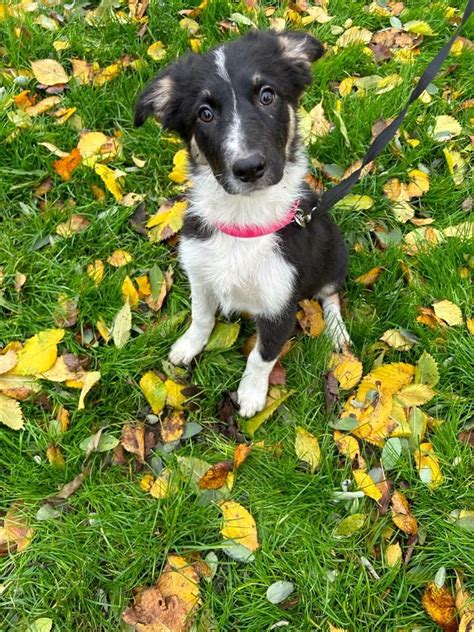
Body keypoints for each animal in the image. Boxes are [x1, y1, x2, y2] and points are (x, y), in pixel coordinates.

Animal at [135, 29, 350, 418]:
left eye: (267, 96)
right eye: (204, 114)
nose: (248, 168)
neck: (244, 220)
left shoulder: (280, 307)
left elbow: (261, 357)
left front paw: (251, 395)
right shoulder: (200, 276)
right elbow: (201, 317)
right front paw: (188, 346)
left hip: (334, 255)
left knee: (331, 294)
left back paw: (337, 332)